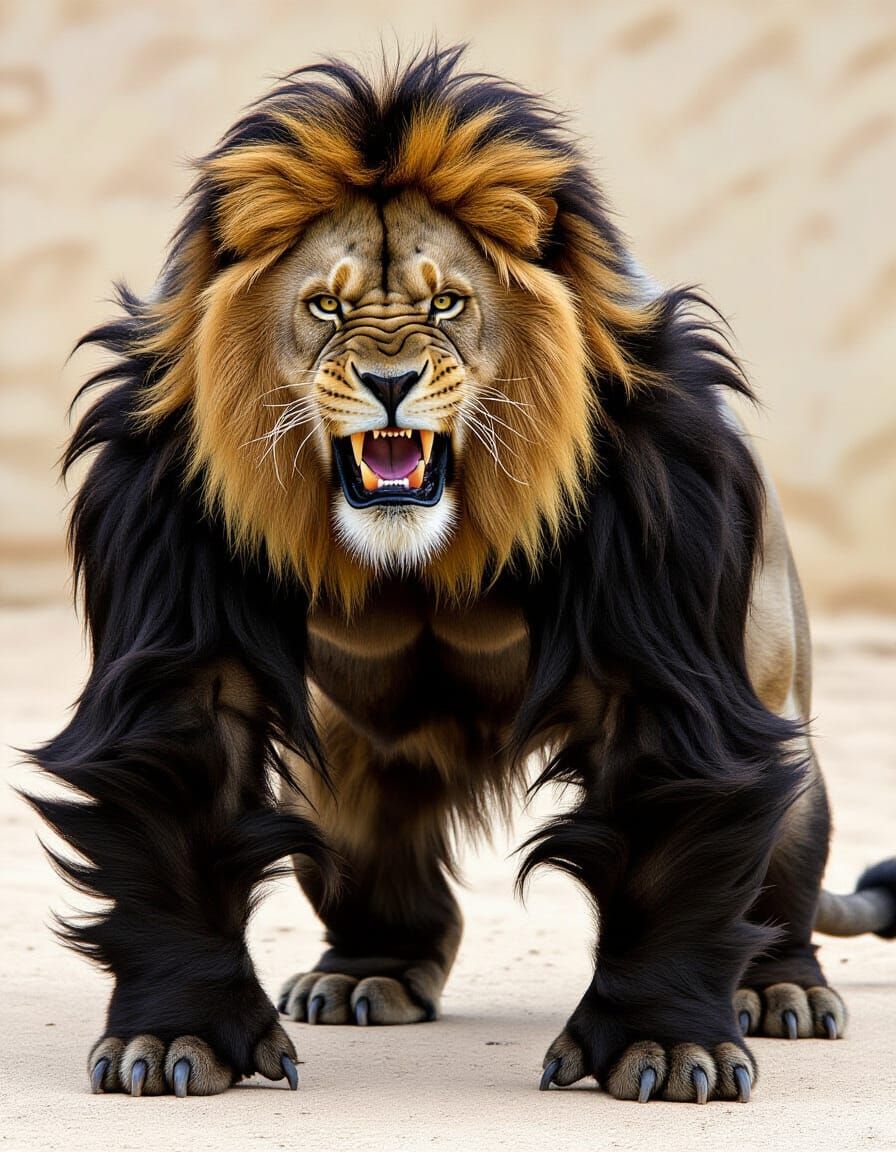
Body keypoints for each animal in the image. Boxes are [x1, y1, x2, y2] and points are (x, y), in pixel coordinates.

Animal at [30, 46, 895, 1104]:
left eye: (447, 303)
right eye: (326, 305)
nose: (390, 383)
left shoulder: (665, 575)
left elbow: (670, 822)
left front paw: (659, 1045)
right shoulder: (166, 524)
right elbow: (181, 769)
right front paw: (176, 1032)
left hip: (782, 711)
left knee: (780, 861)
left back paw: (779, 990)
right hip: (337, 777)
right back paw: (363, 975)